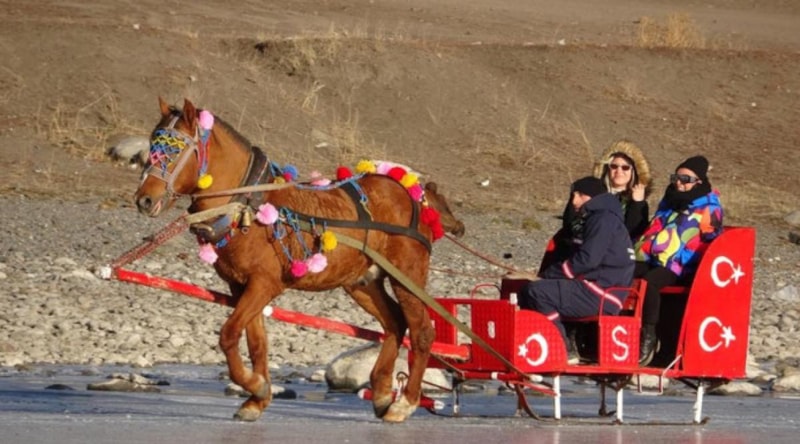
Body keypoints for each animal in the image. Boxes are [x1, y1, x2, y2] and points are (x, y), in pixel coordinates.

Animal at [134, 98, 465, 423]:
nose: (144, 199)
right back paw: (383, 393)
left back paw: (405, 403)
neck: (248, 205)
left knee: (421, 332)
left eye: (175, 149)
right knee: (395, 323)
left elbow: (228, 335)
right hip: (362, 282)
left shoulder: (265, 284)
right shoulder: (241, 287)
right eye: (152, 146)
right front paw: (257, 397)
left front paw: (255, 385)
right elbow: (257, 343)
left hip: (406, 274)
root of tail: (410, 193)